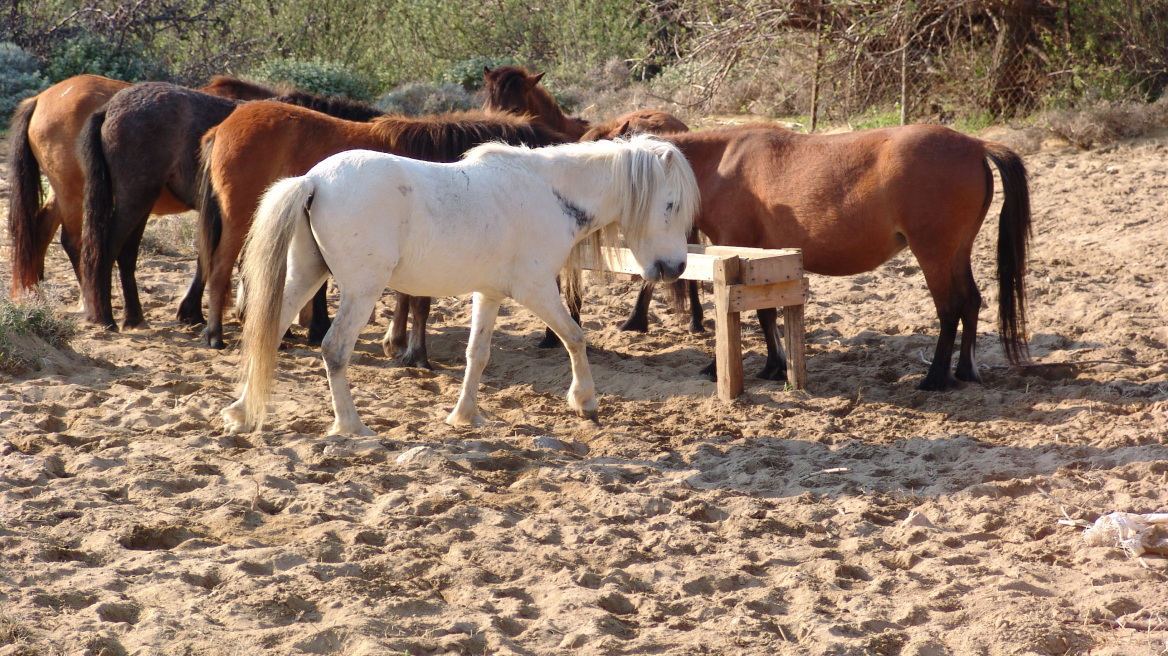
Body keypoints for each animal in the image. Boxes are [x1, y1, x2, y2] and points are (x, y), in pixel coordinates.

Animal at [7, 74, 275, 301]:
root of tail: (40, 99)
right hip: (74, 193)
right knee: (74, 242)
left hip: (63, 192)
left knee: (41, 231)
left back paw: (36, 293)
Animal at [78, 80, 383, 331]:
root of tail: (110, 108)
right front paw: (316, 328)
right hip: (136, 198)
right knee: (107, 250)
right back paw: (106, 317)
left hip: (141, 202)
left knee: (126, 254)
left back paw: (133, 317)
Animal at [196, 103, 569, 357]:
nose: (552, 338)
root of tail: (224, 126)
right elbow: (419, 302)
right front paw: (415, 353)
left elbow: (405, 297)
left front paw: (397, 342)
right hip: (239, 220)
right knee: (221, 269)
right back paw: (215, 334)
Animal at [219, 134, 696, 434]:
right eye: (670, 205)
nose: (675, 268)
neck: (550, 193)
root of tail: (314, 180)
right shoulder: (537, 289)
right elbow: (575, 337)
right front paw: (585, 400)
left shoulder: (489, 294)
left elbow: (477, 355)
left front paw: (465, 416)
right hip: (360, 291)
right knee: (334, 350)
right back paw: (352, 426)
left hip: (305, 274)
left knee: (267, 332)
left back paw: (241, 412)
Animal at [668, 122, 1032, 387]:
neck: (722, 163)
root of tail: (977, 145)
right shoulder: (761, 258)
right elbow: (766, 313)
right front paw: (774, 366)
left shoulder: (735, 252)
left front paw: (719, 367)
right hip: (957, 252)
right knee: (971, 301)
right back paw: (965, 371)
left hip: (935, 254)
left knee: (950, 307)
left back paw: (935, 379)